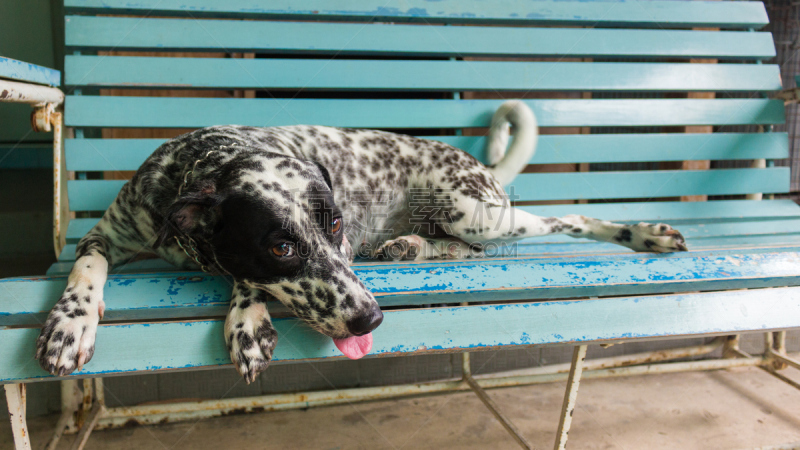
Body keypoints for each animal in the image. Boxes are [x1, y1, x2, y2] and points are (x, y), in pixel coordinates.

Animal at [36, 101, 688, 380]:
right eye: (280, 246)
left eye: (335, 227)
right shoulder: (105, 234)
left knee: (562, 219)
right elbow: (84, 271)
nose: (372, 320)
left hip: (474, 212)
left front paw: (247, 321)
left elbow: (245, 284)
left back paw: (641, 232)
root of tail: (481, 166)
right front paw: (70, 325)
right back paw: (408, 248)